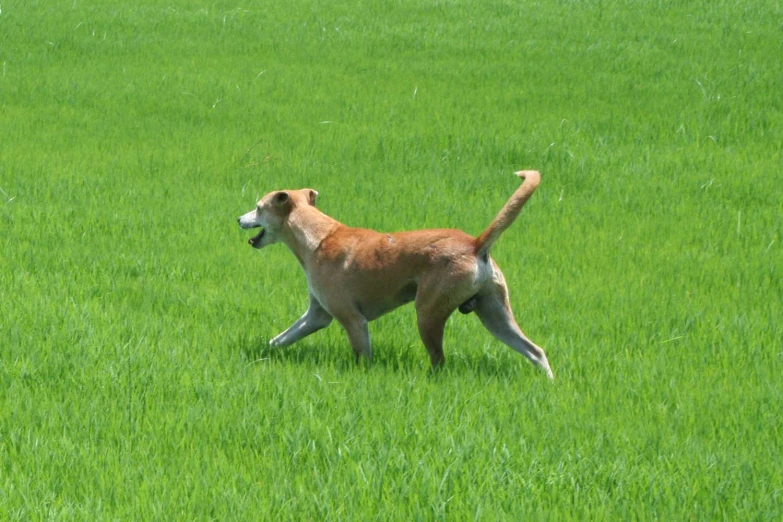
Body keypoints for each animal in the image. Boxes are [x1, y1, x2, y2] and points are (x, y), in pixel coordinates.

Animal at [236, 171, 556, 378]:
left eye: (258, 207)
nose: (238, 218)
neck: (318, 236)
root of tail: (475, 244)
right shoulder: (317, 314)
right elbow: (280, 339)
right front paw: (265, 355)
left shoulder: (352, 320)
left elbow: (362, 356)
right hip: (494, 312)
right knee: (535, 350)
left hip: (428, 312)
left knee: (439, 360)